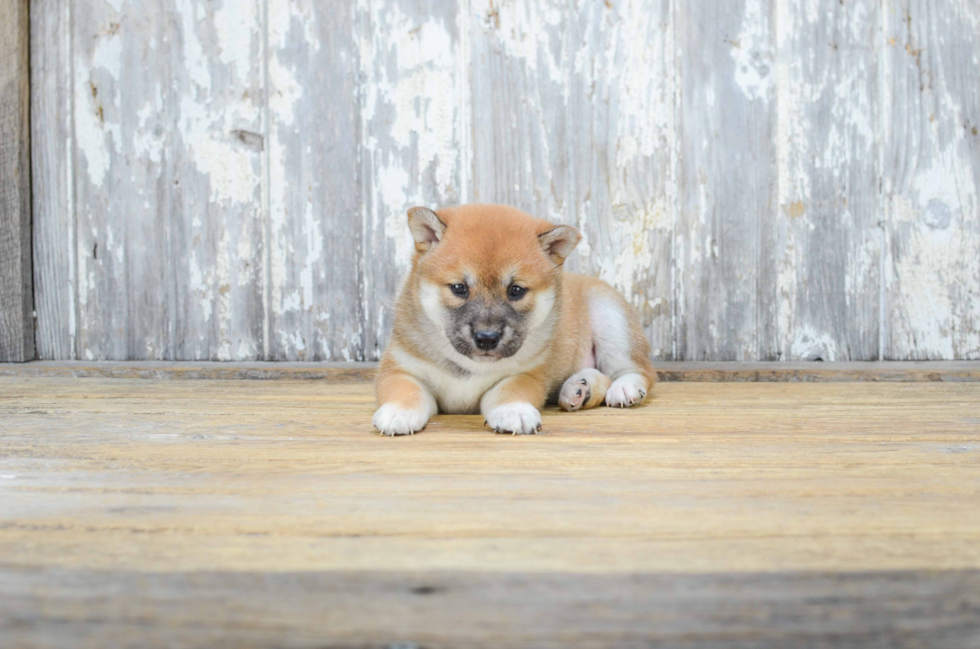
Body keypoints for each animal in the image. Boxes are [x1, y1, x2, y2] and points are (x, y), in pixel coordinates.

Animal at [372, 202, 656, 436]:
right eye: (459, 288)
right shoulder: (400, 368)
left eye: (516, 290)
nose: (487, 339)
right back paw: (578, 389)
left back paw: (623, 388)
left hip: (611, 319)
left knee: (637, 371)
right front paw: (399, 412)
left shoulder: (526, 373)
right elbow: (404, 389)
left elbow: (509, 391)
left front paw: (513, 411)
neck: (468, 367)